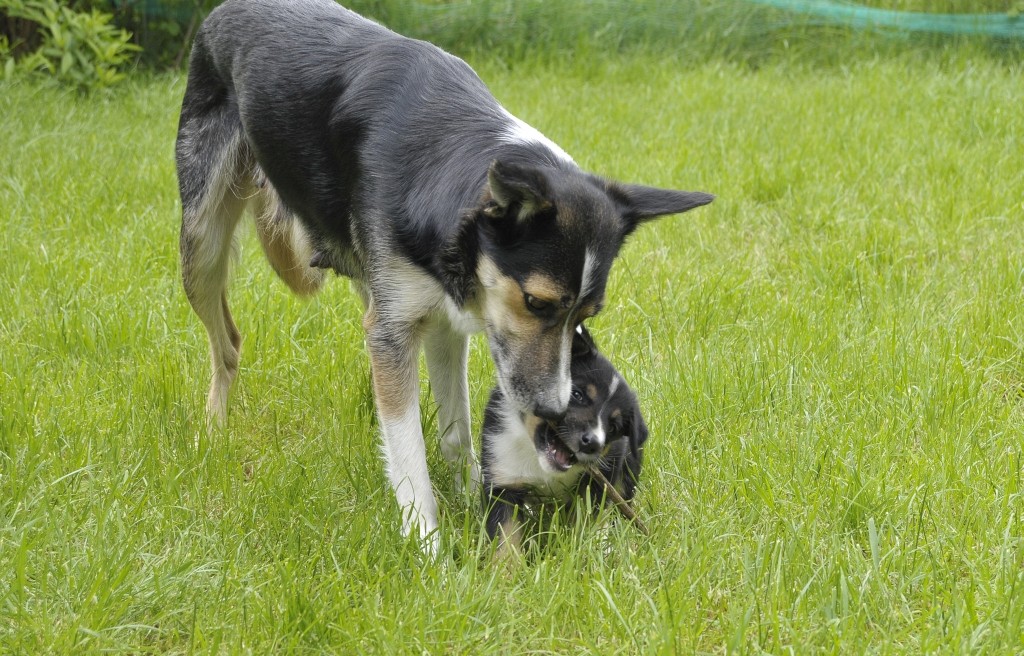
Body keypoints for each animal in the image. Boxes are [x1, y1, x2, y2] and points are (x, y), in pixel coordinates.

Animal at [481, 325, 647, 548]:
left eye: (613, 427)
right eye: (576, 394)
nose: (592, 443)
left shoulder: (600, 479)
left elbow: (586, 521)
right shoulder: (503, 477)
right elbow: (505, 539)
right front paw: (505, 559)